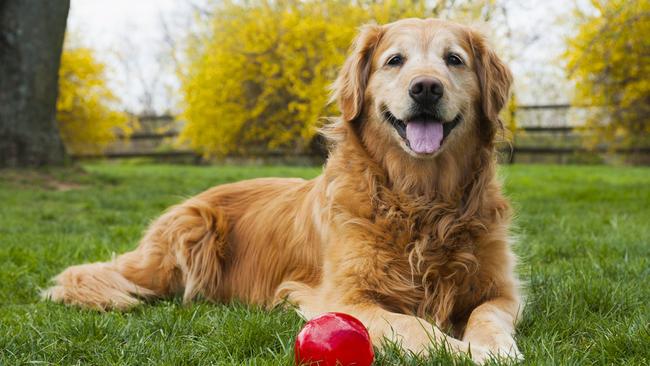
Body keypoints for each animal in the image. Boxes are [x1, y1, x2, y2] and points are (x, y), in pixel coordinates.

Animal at [43, 18, 520, 364]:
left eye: (454, 59)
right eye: (395, 60)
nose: (425, 87)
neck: (422, 199)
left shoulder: (501, 289)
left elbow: (488, 316)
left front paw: (493, 348)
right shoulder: (343, 296)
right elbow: (413, 325)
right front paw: (465, 351)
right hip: (186, 235)